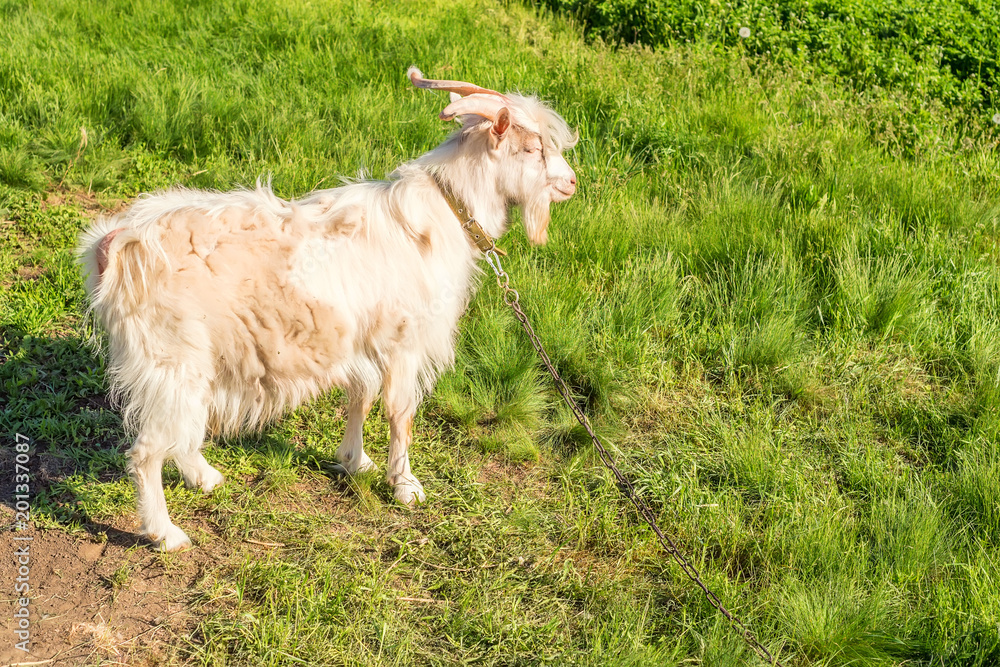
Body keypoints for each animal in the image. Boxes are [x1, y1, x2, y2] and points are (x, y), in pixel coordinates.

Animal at [77, 68, 578, 551]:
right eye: (533, 148)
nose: (571, 183)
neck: (443, 214)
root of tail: (117, 244)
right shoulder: (405, 342)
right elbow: (400, 413)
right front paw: (405, 485)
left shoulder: (363, 342)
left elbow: (361, 397)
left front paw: (356, 462)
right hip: (170, 361)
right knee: (146, 452)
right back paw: (166, 534)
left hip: (193, 365)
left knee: (182, 431)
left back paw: (206, 478)